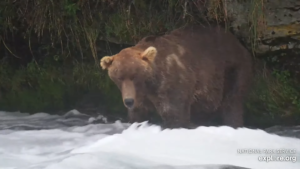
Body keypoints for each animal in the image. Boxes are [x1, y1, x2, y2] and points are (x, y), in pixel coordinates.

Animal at [101, 24, 253, 128]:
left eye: (135, 76)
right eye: (119, 77)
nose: (128, 101)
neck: (150, 83)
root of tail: (238, 42)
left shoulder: (172, 81)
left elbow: (175, 113)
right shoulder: (140, 95)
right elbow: (138, 114)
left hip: (232, 70)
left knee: (232, 103)